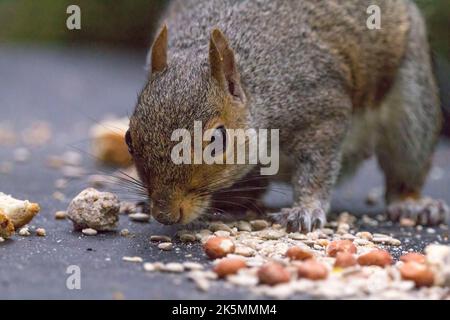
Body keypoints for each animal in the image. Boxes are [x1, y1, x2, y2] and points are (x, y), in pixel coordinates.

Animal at [125, 0, 446, 230]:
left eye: (217, 140)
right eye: (129, 138)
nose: (165, 213)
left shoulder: (322, 110)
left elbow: (318, 167)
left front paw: (305, 210)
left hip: (413, 103)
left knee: (406, 165)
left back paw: (412, 204)